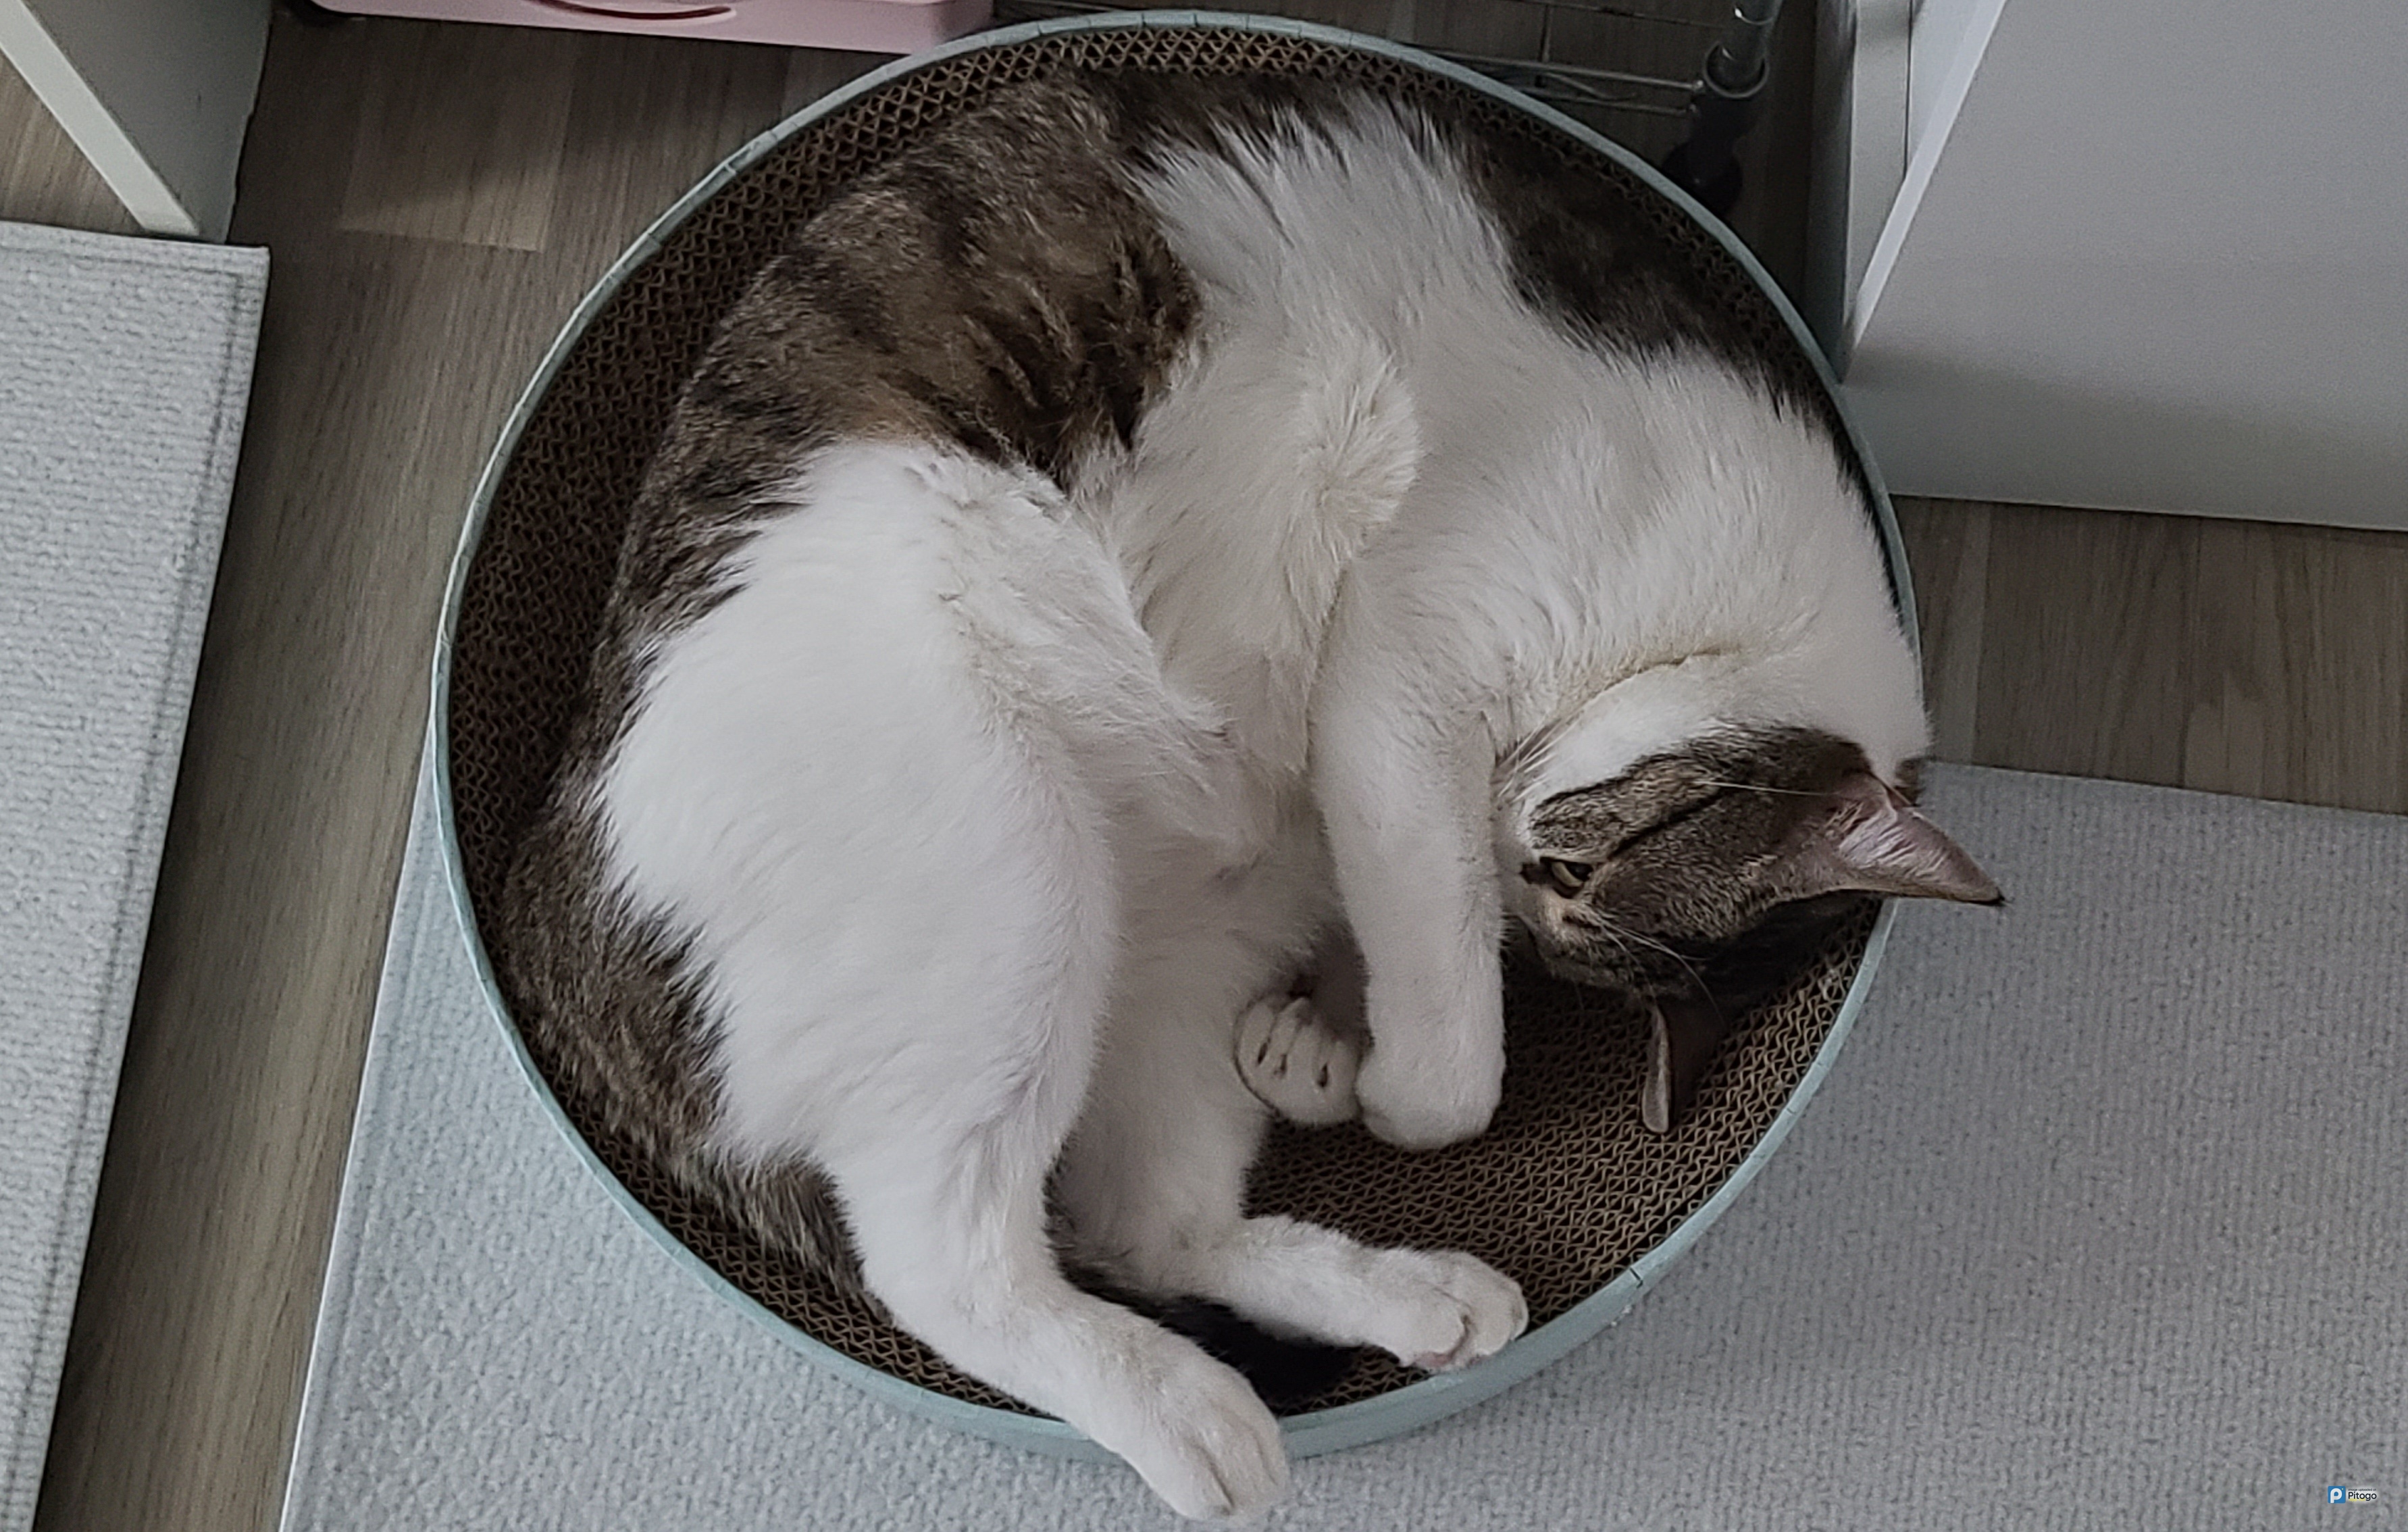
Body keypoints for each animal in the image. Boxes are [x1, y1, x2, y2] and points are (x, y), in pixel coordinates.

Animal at [497, 70, 1998, 1522]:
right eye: (1580, 871)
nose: (1526, 868)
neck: (1729, 610)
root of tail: (545, 898)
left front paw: (1324, 1049)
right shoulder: (1406, 681)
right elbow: (1454, 1056)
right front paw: (1386, 1082)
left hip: (1169, 959)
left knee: (1138, 1227)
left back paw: (1420, 1296)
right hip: (1005, 866)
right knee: (949, 1266)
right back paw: (1197, 1418)